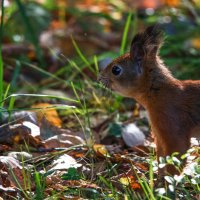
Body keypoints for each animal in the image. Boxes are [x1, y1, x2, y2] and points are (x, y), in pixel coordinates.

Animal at [99, 25, 200, 175]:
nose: (99, 78)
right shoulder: (159, 133)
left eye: (115, 70)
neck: (158, 91)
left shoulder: (172, 123)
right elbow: (162, 157)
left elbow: (176, 155)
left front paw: (168, 180)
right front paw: (157, 176)